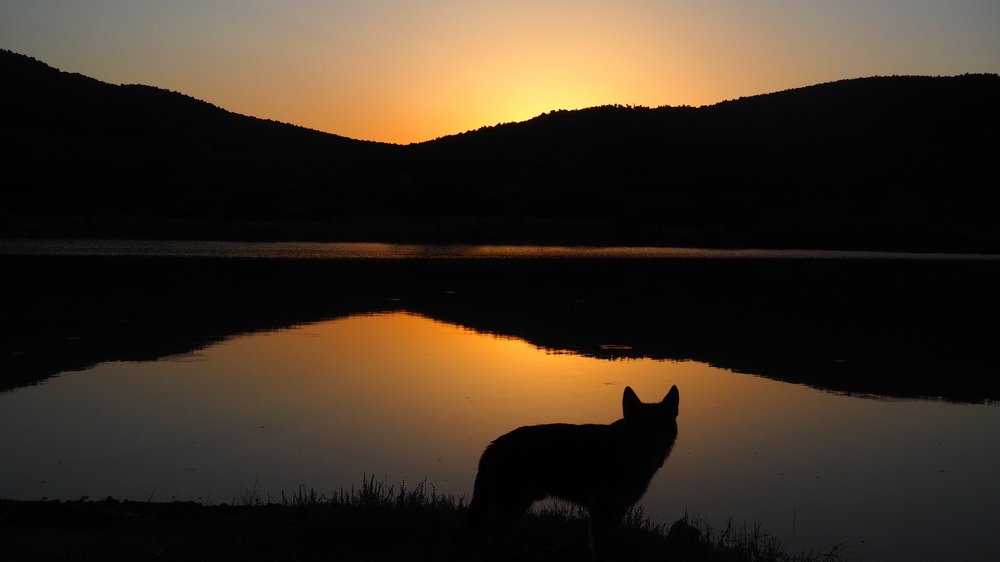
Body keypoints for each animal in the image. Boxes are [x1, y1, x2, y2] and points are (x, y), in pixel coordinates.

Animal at [469, 385, 680, 557]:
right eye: (642, 427)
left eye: (662, 427)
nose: (656, 448)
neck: (625, 452)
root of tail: (493, 445)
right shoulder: (600, 511)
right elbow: (600, 547)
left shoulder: (617, 510)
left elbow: (609, 542)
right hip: (514, 502)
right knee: (496, 532)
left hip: (520, 503)